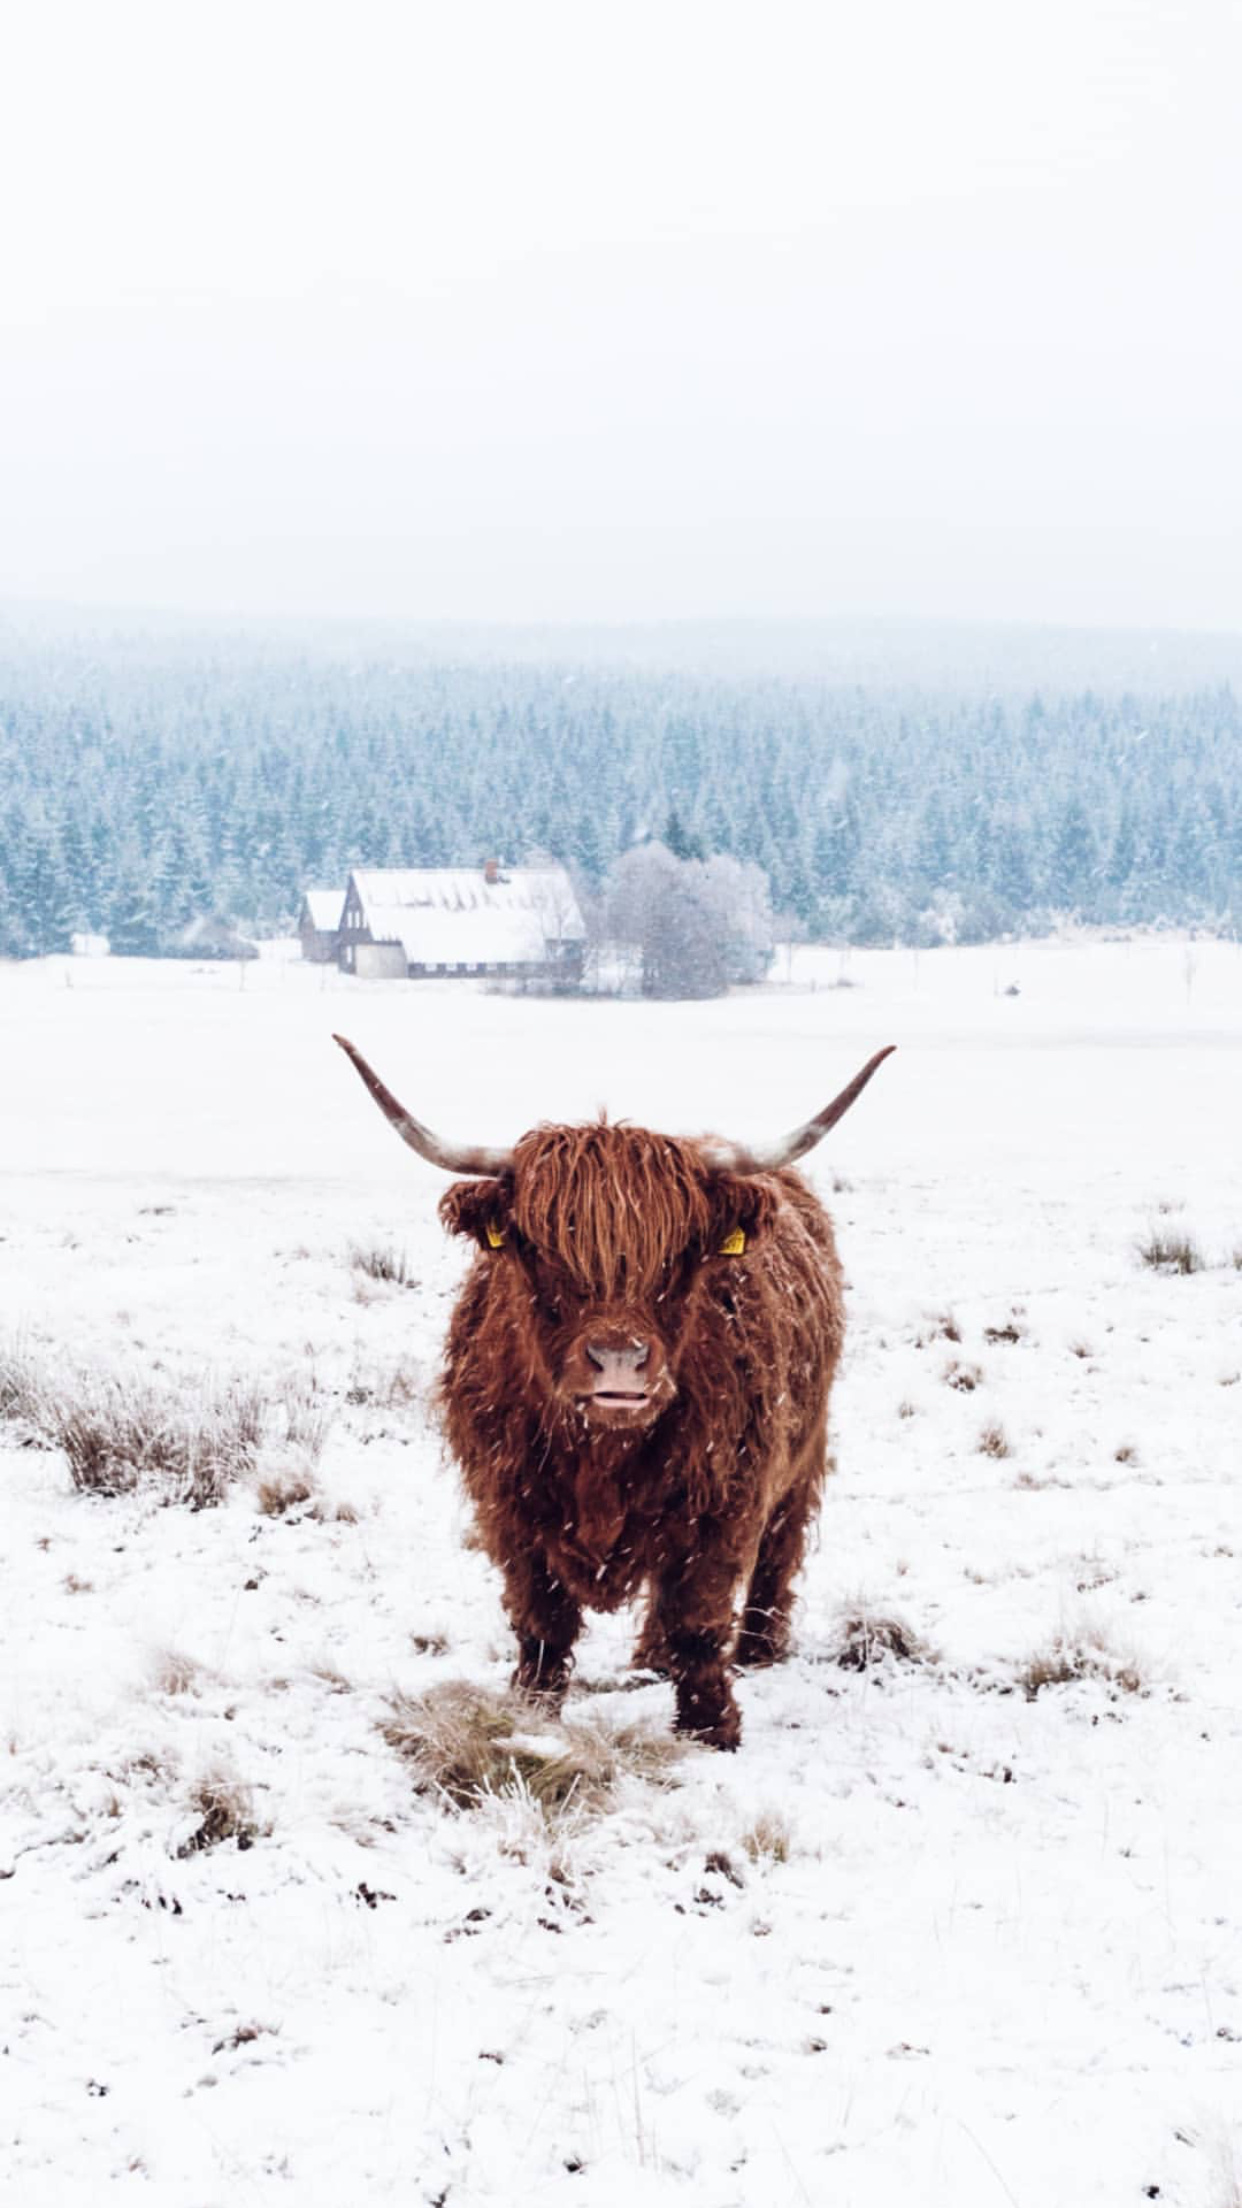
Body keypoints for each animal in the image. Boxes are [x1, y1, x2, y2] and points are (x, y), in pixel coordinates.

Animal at [333, 1028, 888, 1739]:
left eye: (682, 1255)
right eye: (542, 1250)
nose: (620, 1360)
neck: (602, 1453)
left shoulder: (725, 1496)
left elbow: (699, 1617)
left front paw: (711, 1727)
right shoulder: (508, 1502)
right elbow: (541, 1618)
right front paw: (532, 1709)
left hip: (805, 1448)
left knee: (778, 1549)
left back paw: (758, 1649)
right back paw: (650, 1659)